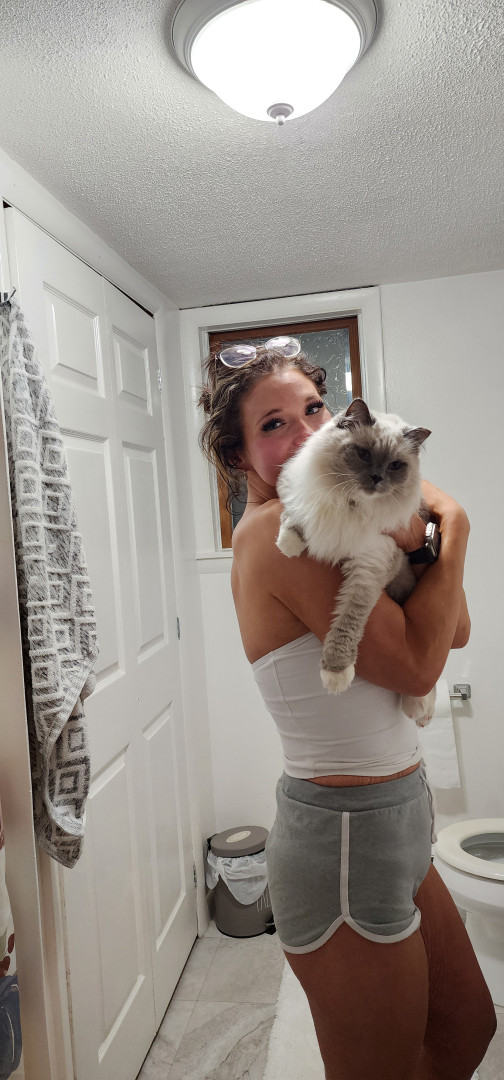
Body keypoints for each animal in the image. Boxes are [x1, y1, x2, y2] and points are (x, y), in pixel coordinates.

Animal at [276, 397, 436, 727]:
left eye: (395, 465)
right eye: (363, 454)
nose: (377, 478)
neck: (350, 504)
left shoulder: (369, 563)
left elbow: (349, 618)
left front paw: (336, 673)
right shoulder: (300, 492)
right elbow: (294, 515)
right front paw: (289, 544)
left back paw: (419, 710)